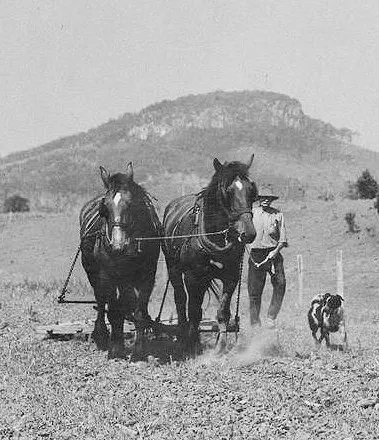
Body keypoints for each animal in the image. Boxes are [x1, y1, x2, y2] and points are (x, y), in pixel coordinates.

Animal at [81, 163, 161, 360]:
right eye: (105, 207)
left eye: (131, 205)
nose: (118, 245)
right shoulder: (107, 275)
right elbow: (113, 309)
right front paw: (115, 349)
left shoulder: (148, 275)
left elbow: (138, 312)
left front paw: (139, 352)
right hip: (93, 273)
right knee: (102, 301)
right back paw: (102, 336)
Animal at [162, 155, 260, 350]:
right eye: (227, 191)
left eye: (252, 190)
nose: (248, 232)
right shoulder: (193, 277)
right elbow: (193, 310)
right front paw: (192, 344)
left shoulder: (231, 277)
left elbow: (223, 312)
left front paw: (220, 346)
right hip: (174, 269)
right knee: (180, 299)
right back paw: (183, 333)